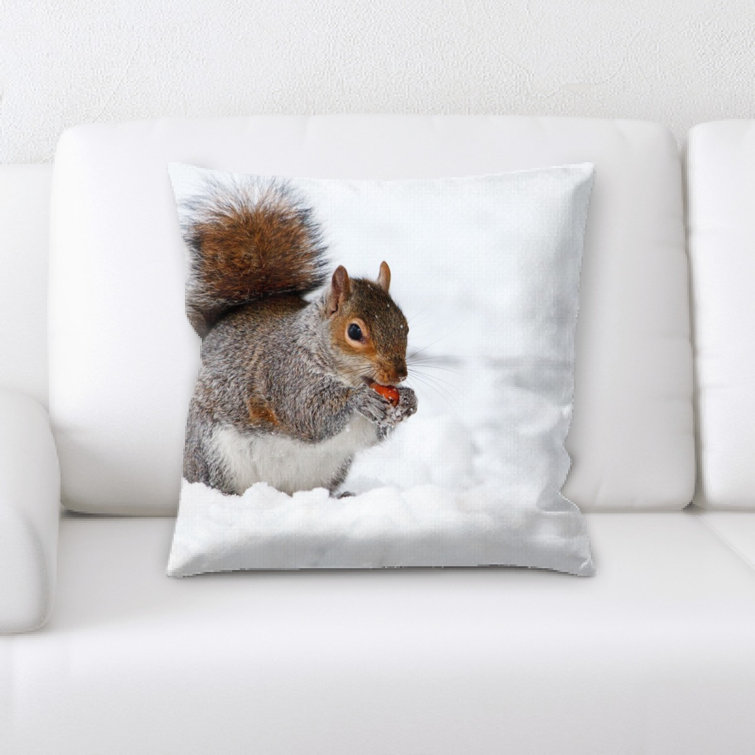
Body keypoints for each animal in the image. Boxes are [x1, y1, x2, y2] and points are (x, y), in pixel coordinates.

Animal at [178, 176, 418, 496]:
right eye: (355, 331)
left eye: (405, 326)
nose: (398, 375)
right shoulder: (284, 374)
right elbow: (307, 413)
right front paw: (359, 400)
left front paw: (409, 400)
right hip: (213, 454)